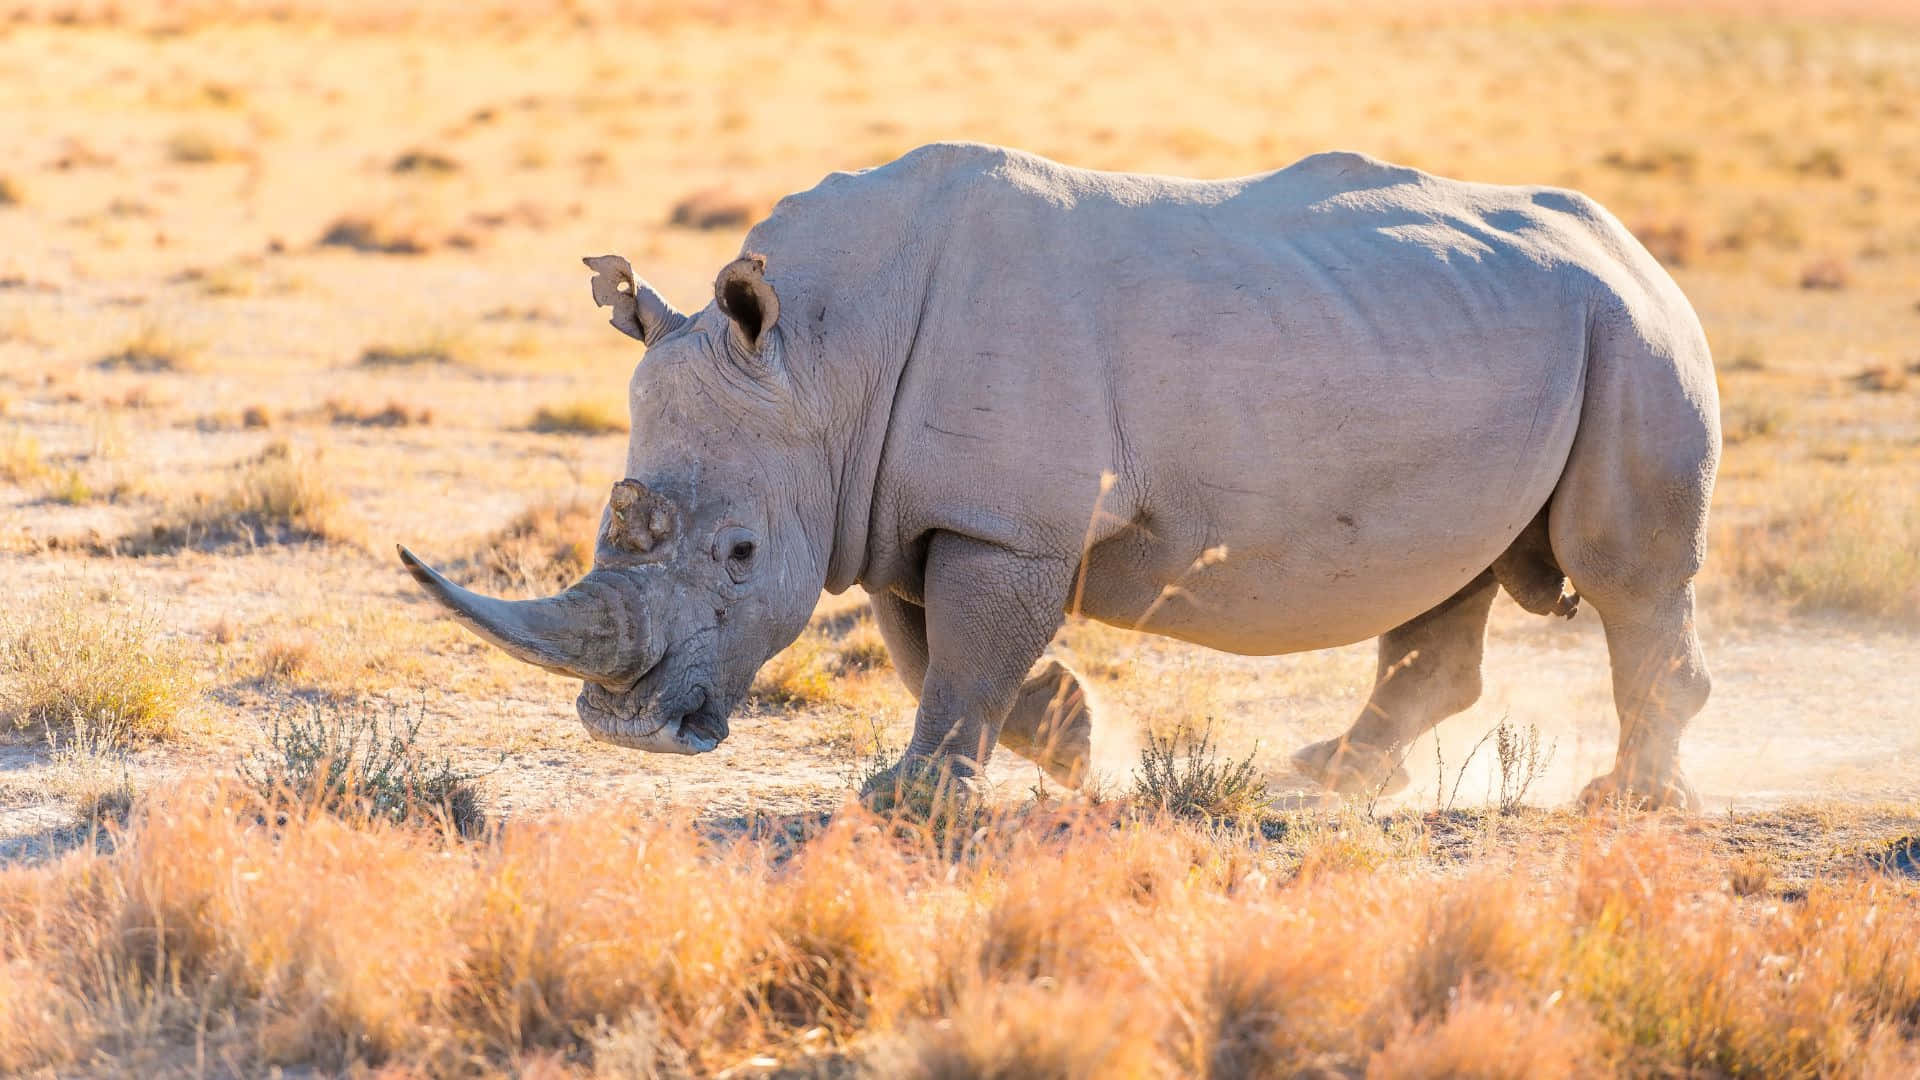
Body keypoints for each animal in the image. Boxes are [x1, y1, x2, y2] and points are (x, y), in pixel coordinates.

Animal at [399, 142, 1719, 810]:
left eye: (739, 555)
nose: (628, 735)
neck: (819, 358)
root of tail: (1636, 248)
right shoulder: (912, 510)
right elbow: (937, 650)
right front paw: (1075, 747)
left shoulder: (1003, 522)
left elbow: (964, 654)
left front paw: (907, 803)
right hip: (1505, 336)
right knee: (1448, 577)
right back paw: (1330, 779)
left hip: (1634, 335)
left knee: (1625, 576)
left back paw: (1625, 807)